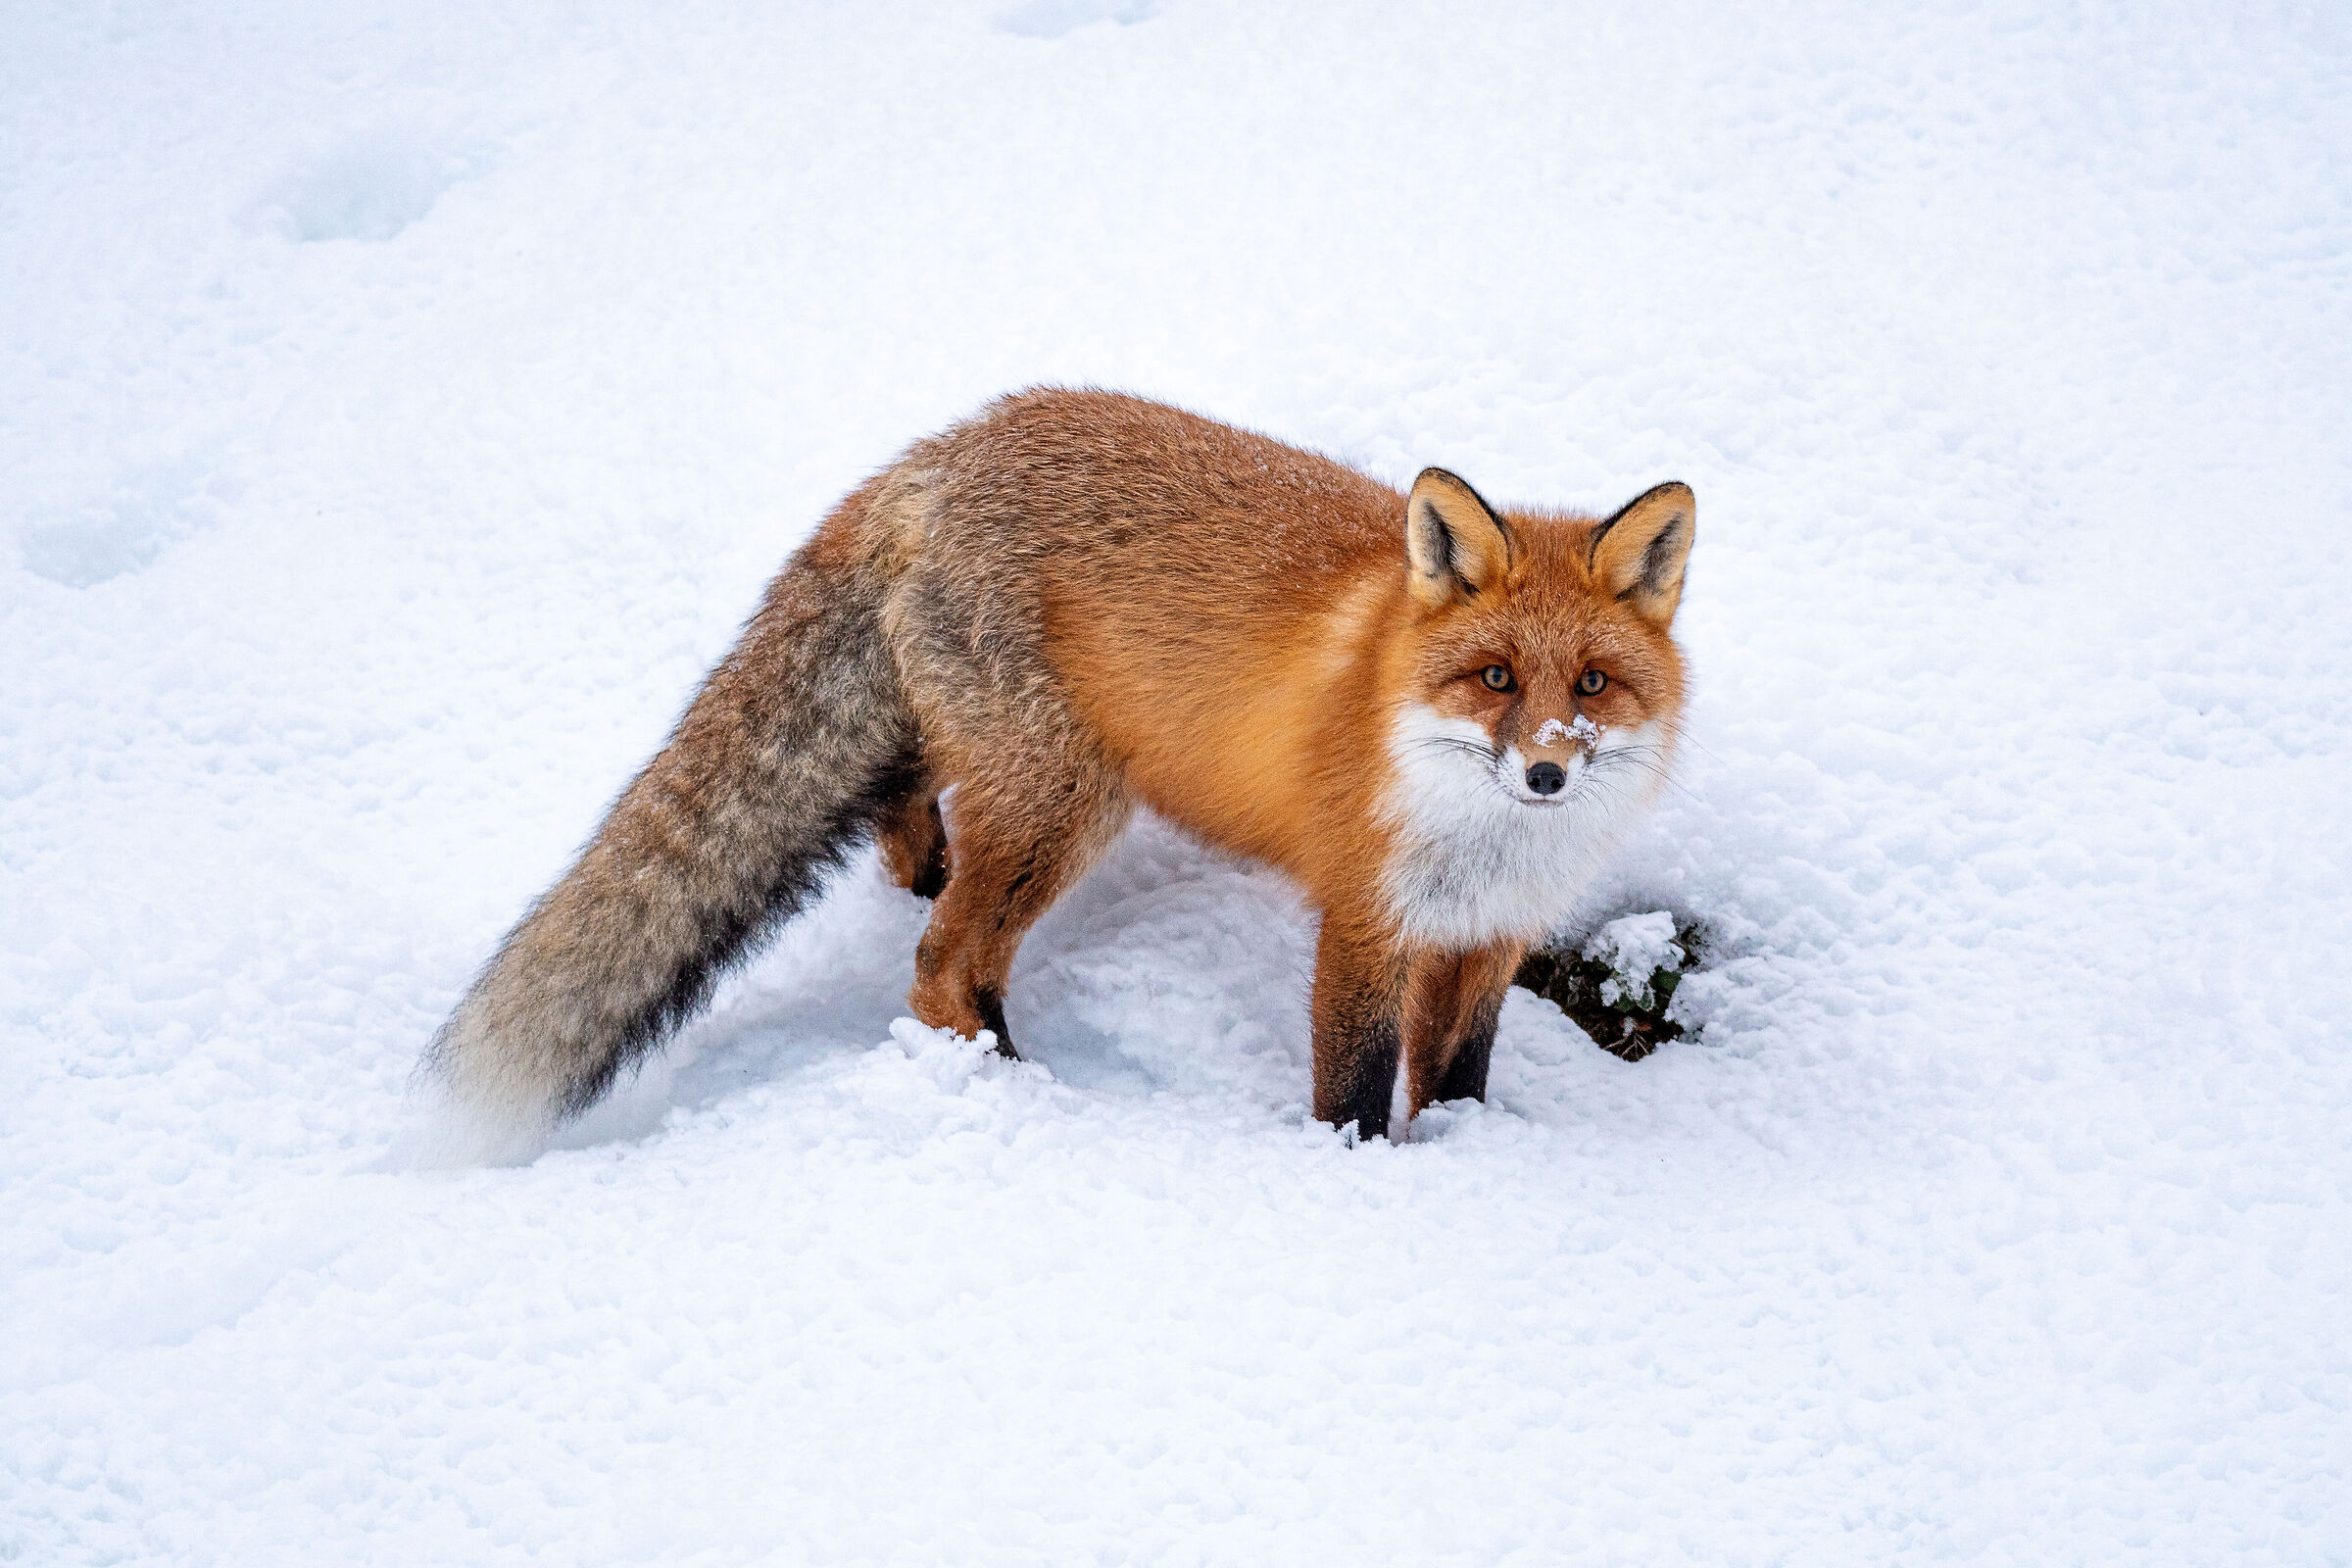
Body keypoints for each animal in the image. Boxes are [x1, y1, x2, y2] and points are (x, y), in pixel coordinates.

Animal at [426, 388, 1694, 1154]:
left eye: (1590, 685)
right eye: (1493, 677)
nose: (1545, 776)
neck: (1488, 843)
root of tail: (931, 455)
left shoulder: (1490, 937)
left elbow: (1457, 1079)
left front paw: (1466, 1159)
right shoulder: (1365, 921)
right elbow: (1354, 1086)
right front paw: (1361, 1173)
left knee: (912, 835)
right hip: (1065, 802)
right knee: (941, 967)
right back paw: (1023, 1098)